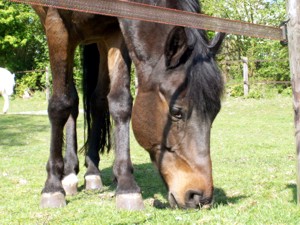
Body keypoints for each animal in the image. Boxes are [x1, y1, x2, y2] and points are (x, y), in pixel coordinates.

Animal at [34, 0, 224, 210]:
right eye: (176, 112)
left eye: (216, 112)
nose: (200, 197)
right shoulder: (56, 23)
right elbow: (60, 105)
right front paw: (52, 186)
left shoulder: (115, 32)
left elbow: (120, 103)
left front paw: (126, 185)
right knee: (72, 102)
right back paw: (68, 174)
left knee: (98, 100)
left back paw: (93, 173)